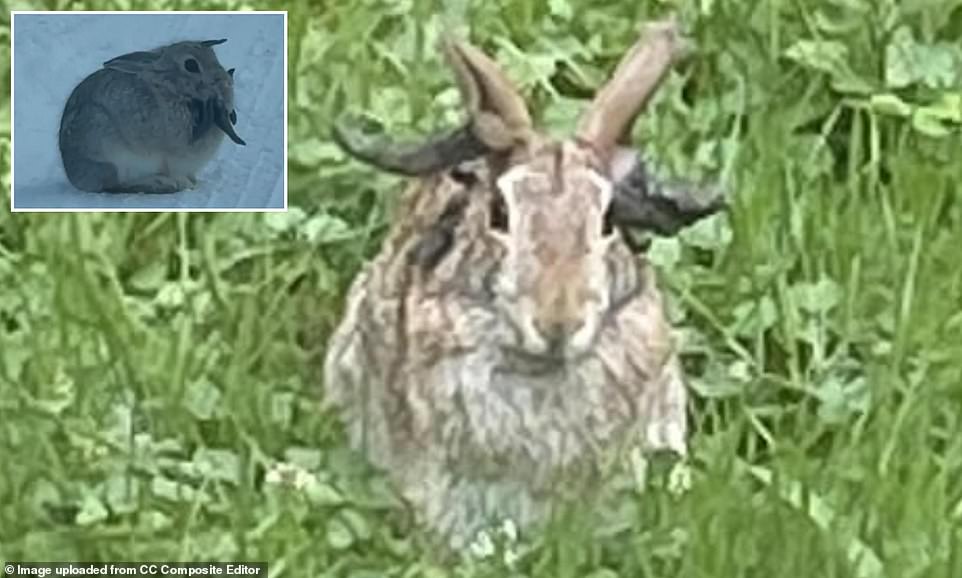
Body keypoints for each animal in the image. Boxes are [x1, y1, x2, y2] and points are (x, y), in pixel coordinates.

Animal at [58, 38, 246, 194]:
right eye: (191, 65)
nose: (226, 81)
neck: (173, 89)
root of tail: (74, 176)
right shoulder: (175, 157)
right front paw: (186, 183)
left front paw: (193, 181)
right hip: (110, 153)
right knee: (116, 184)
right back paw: (162, 183)